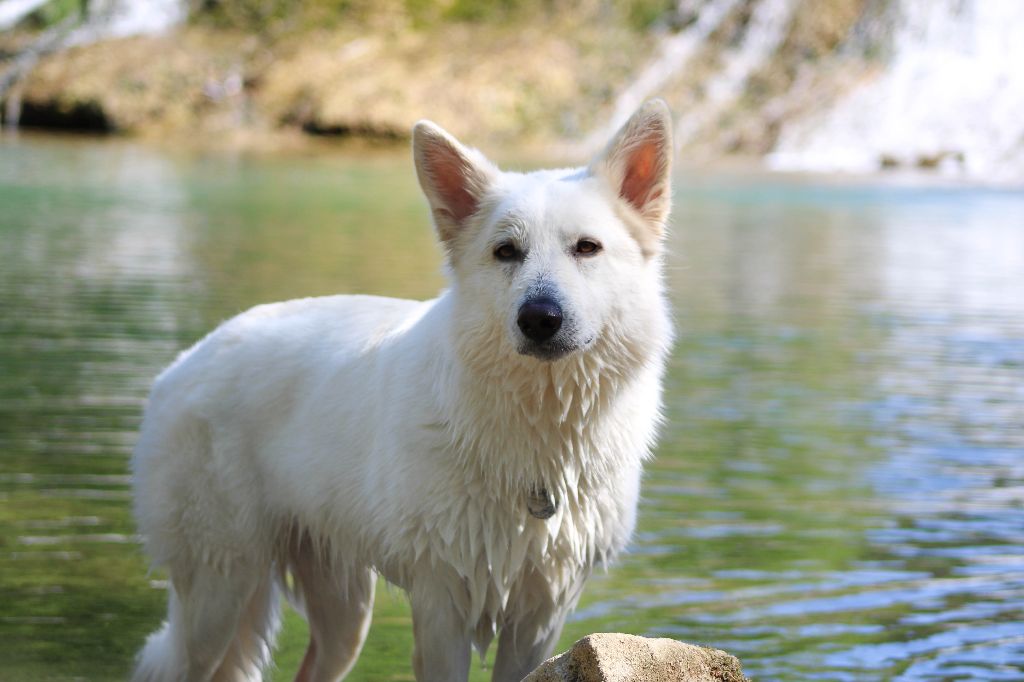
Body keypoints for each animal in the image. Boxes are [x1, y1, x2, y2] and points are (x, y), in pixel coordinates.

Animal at [132, 98, 675, 675]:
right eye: (506, 251)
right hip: (217, 597)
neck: (542, 433)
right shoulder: (442, 602)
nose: (539, 318)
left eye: (587, 248)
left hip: (343, 615)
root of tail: (183, 362)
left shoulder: (540, 615)